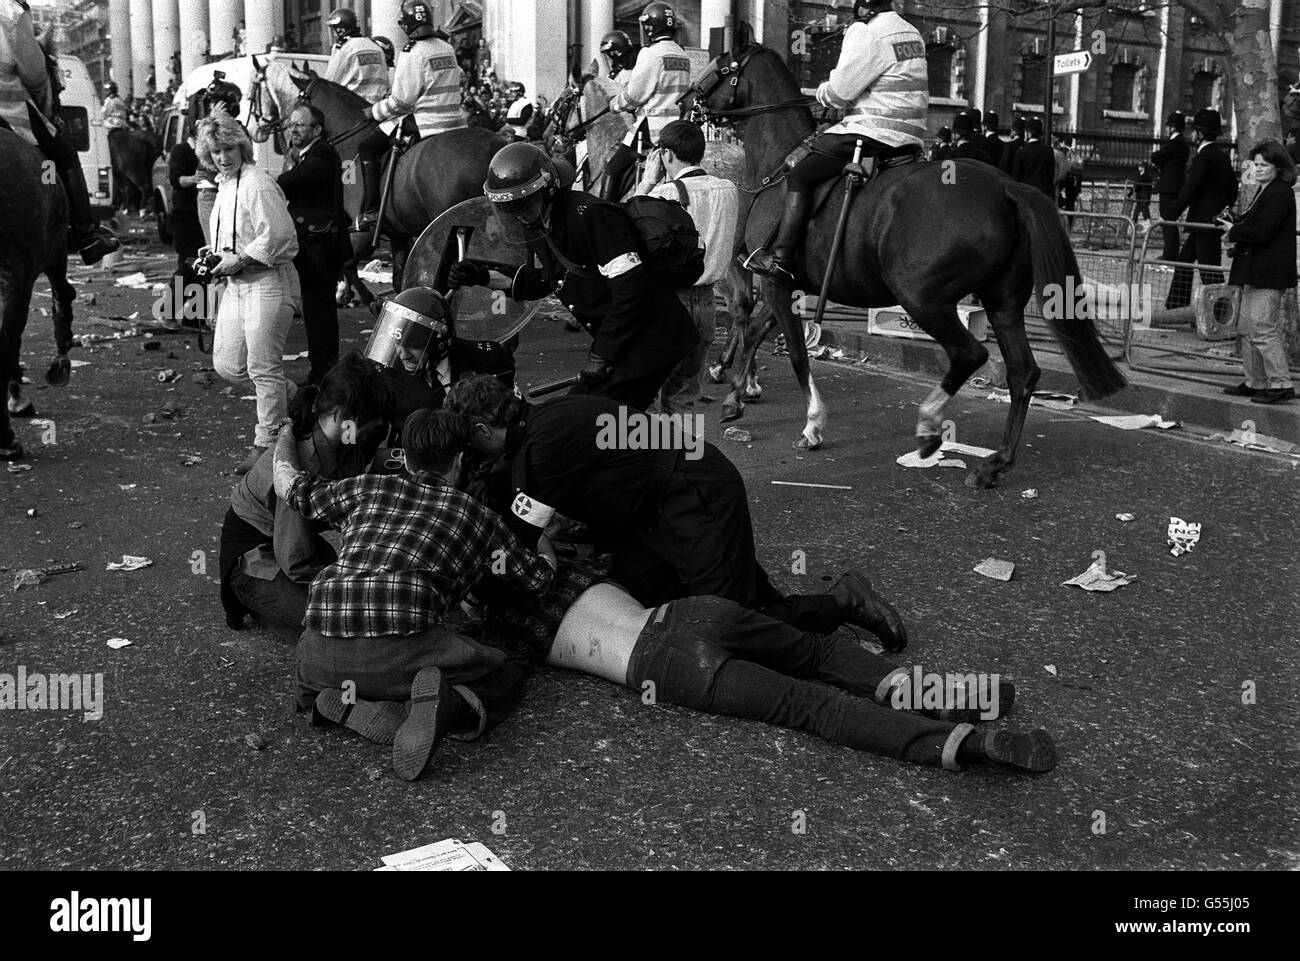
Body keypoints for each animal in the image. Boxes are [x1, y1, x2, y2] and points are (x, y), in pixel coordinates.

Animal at [248, 58, 506, 306]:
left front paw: (365, 299)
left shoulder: (362, 232)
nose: (256, 131)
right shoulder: (398, 233)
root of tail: (496, 147)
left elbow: (347, 264)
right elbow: (398, 278)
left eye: (253, 90)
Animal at [691, 39, 1128, 488]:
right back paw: (995, 463)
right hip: (1002, 302)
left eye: (722, 66)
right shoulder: (788, 285)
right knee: (1022, 374)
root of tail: (1006, 186)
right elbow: (757, 331)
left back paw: (930, 427)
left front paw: (811, 424)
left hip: (923, 298)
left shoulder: (778, 281)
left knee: (970, 354)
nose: (691, 99)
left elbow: (795, 351)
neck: (783, 162)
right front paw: (736, 395)